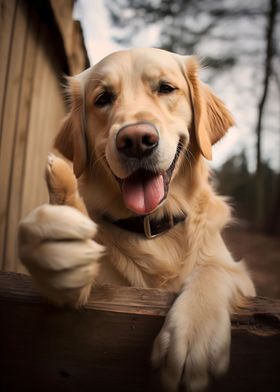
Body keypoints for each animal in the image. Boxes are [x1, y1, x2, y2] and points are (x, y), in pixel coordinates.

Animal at [17, 49, 254, 392]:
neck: (151, 226)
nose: (136, 140)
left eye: (166, 88)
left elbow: (214, 268)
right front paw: (56, 241)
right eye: (103, 98)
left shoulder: (240, 276)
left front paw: (195, 332)